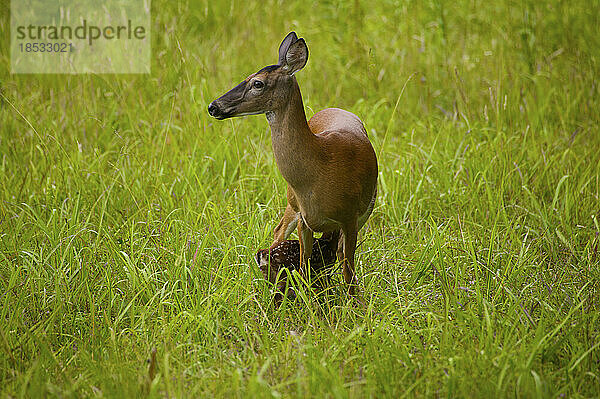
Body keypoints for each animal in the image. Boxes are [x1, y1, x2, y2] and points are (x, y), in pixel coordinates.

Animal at [206, 32, 376, 296]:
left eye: (257, 83)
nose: (213, 106)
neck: (321, 168)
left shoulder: (350, 217)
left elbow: (347, 270)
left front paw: (354, 303)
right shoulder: (304, 218)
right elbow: (305, 267)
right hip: (291, 202)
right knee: (278, 233)